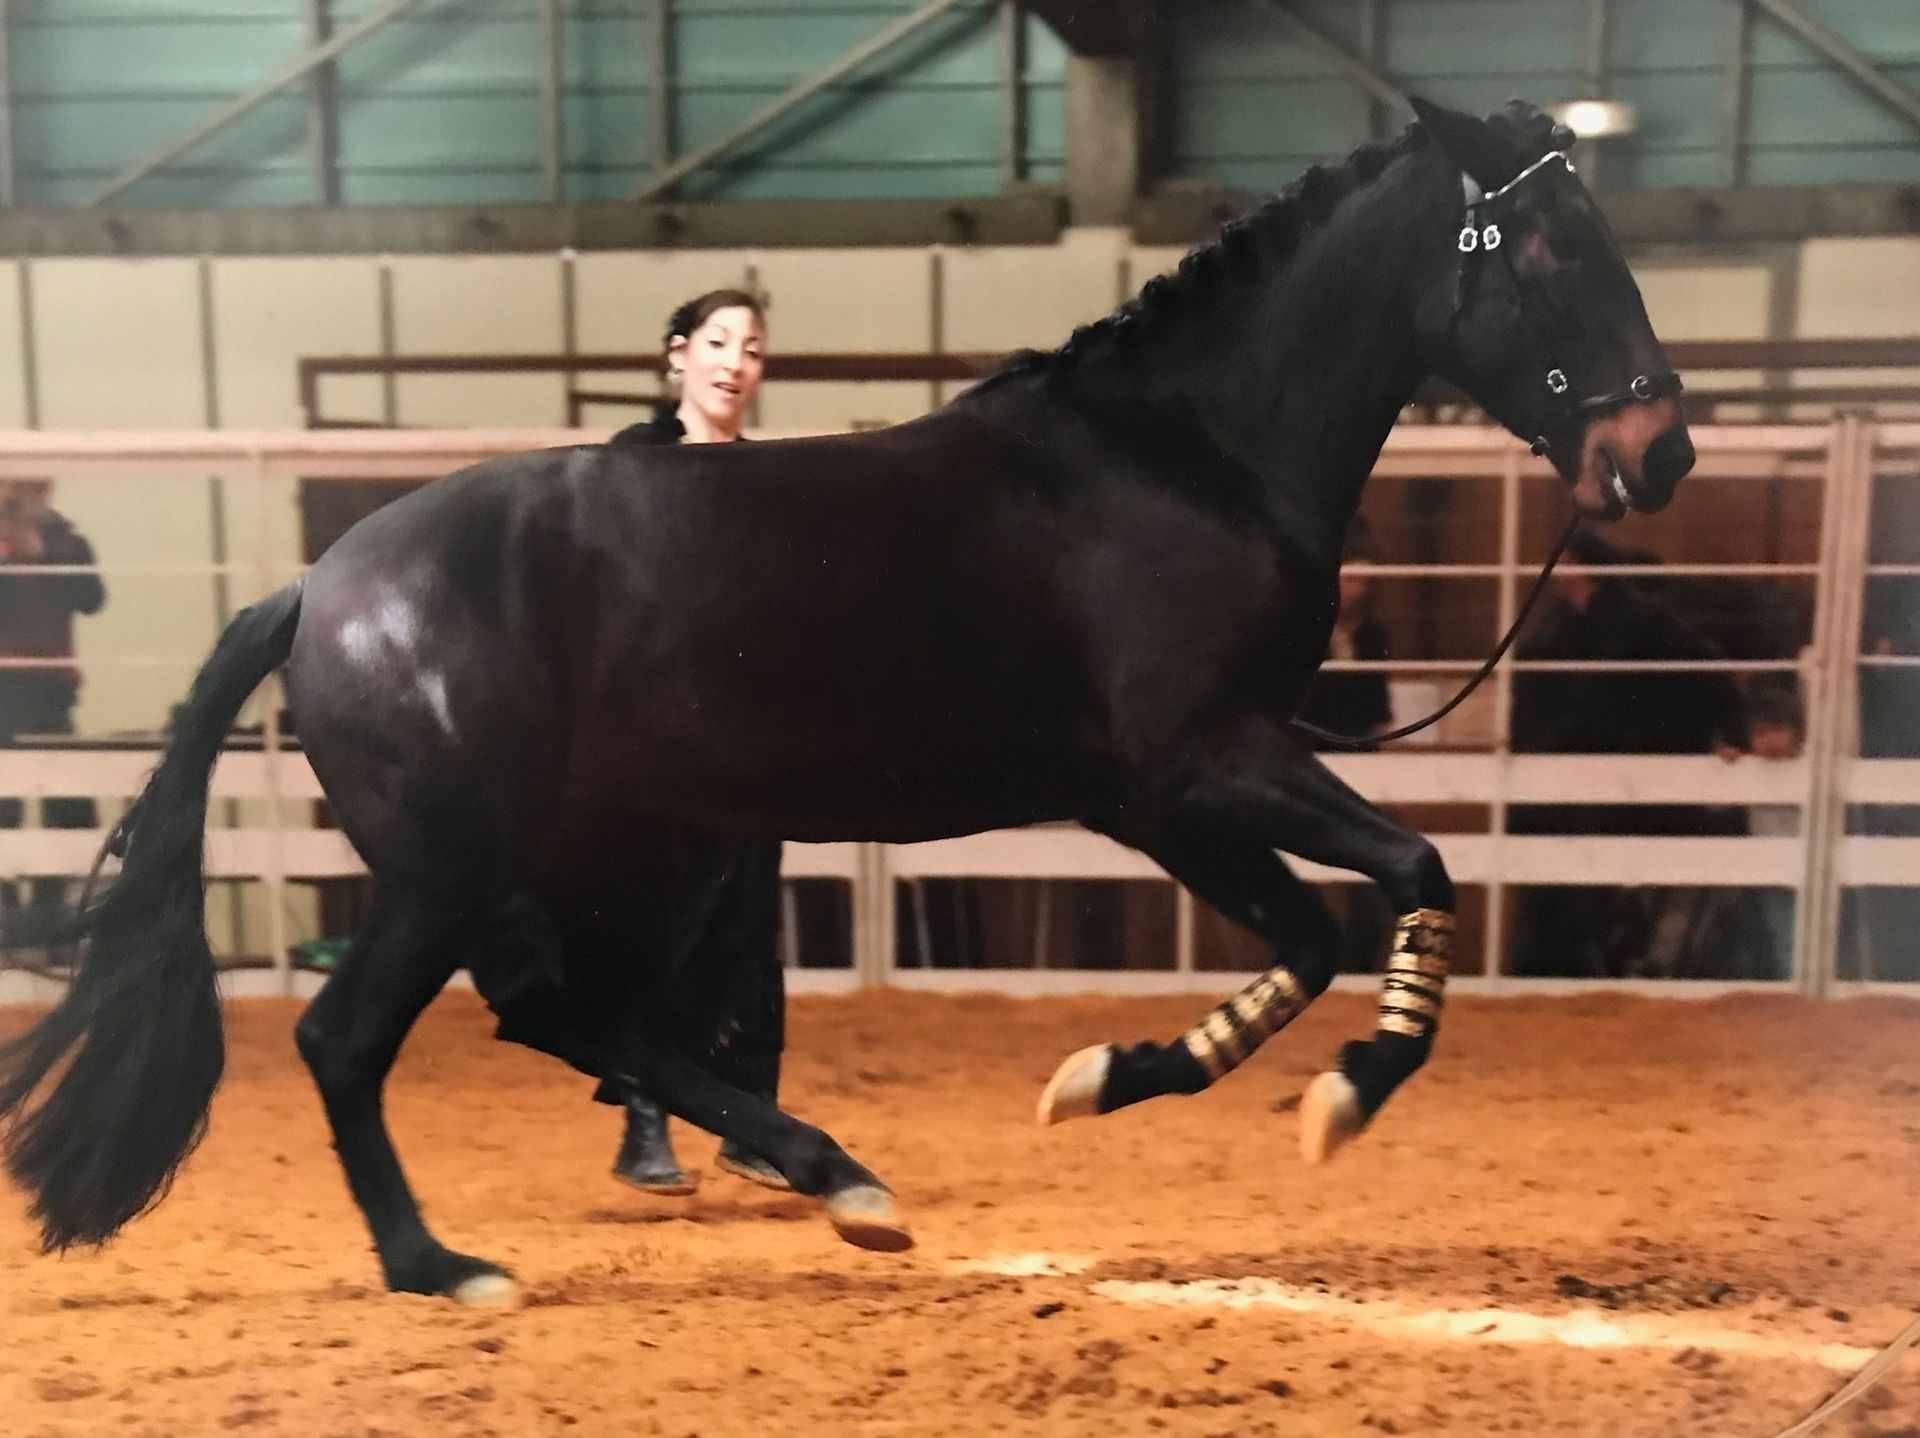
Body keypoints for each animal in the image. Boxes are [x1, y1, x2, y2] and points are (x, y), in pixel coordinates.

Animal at [0, 98, 1692, 1305]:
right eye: (1549, 242)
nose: (1659, 452)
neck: (1183, 456)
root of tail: (323, 582)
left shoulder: (1151, 799)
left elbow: (1312, 932)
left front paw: (1104, 1077)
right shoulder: (1202, 765)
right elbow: (1409, 874)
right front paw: (1344, 1096)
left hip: (616, 850)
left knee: (583, 1015)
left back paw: (836, 1179)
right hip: (456, 866)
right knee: (355, 1038)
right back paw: (443, 1266)